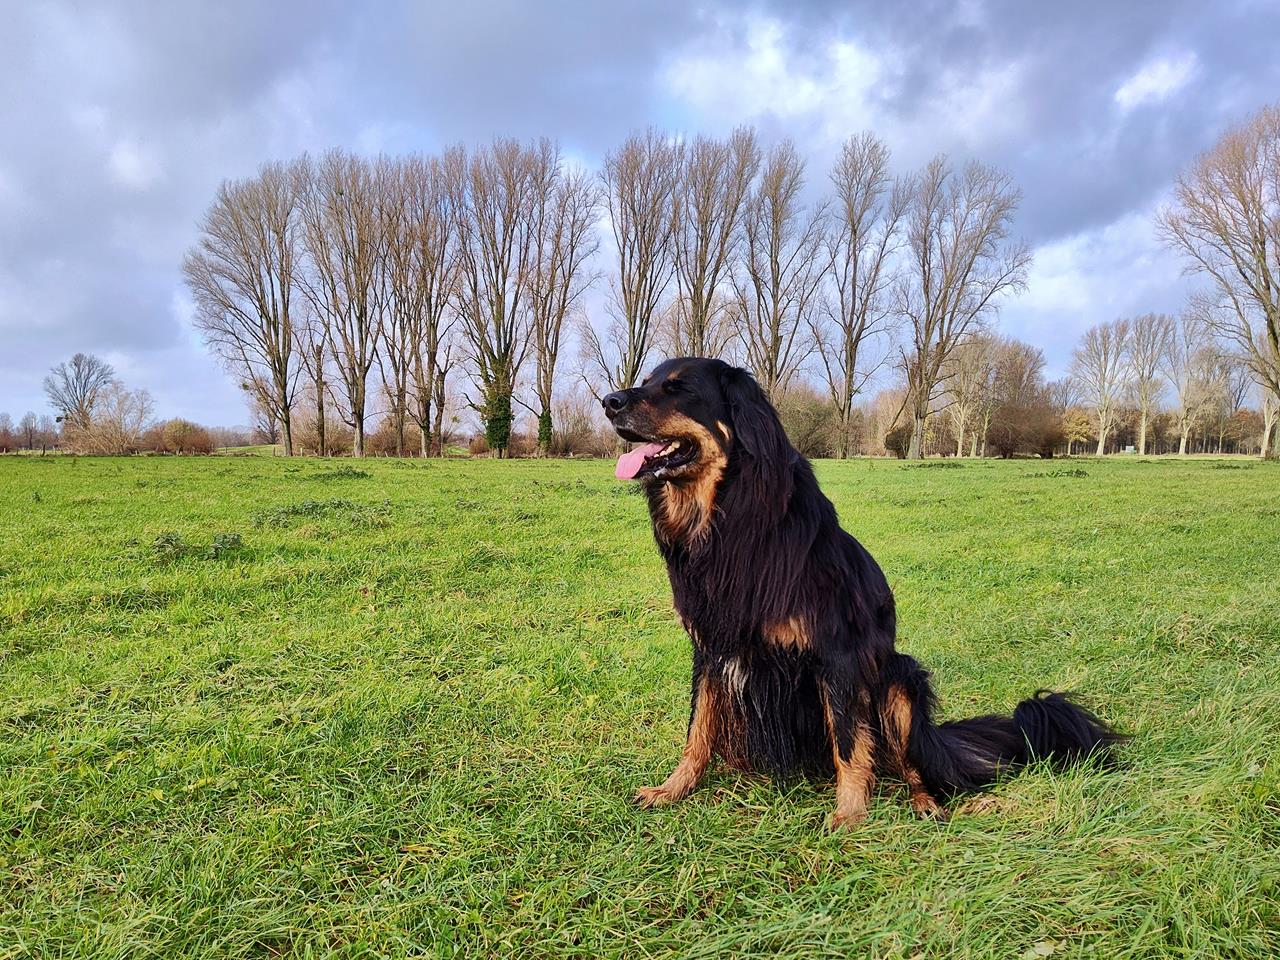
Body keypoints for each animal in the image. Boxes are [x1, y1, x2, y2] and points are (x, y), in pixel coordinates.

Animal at [604, 357, 1123, 828]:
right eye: (648, 380)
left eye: (679, 389)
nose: (609, 402)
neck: (730, 519)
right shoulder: (712, 648)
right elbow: (698, 729)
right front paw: (673, 789)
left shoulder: (837, 656)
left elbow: (850, 743)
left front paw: (850, 814)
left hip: (900, 680)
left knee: (912, 764)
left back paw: (925, 802)